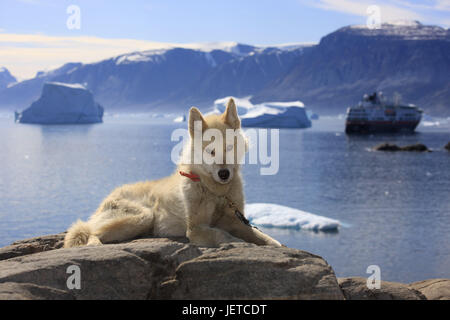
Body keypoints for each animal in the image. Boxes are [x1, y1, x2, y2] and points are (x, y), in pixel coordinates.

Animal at [63, 99, 282, 249]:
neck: (215, 191)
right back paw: (93, 245)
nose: (224, 174)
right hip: (143, 215)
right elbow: (226, 236)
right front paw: (242, 244)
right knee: (90, 232)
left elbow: (263, 237)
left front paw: (272, 244)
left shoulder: (235, 219)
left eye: (228, 147)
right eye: (210, 151)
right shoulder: (195, 228)